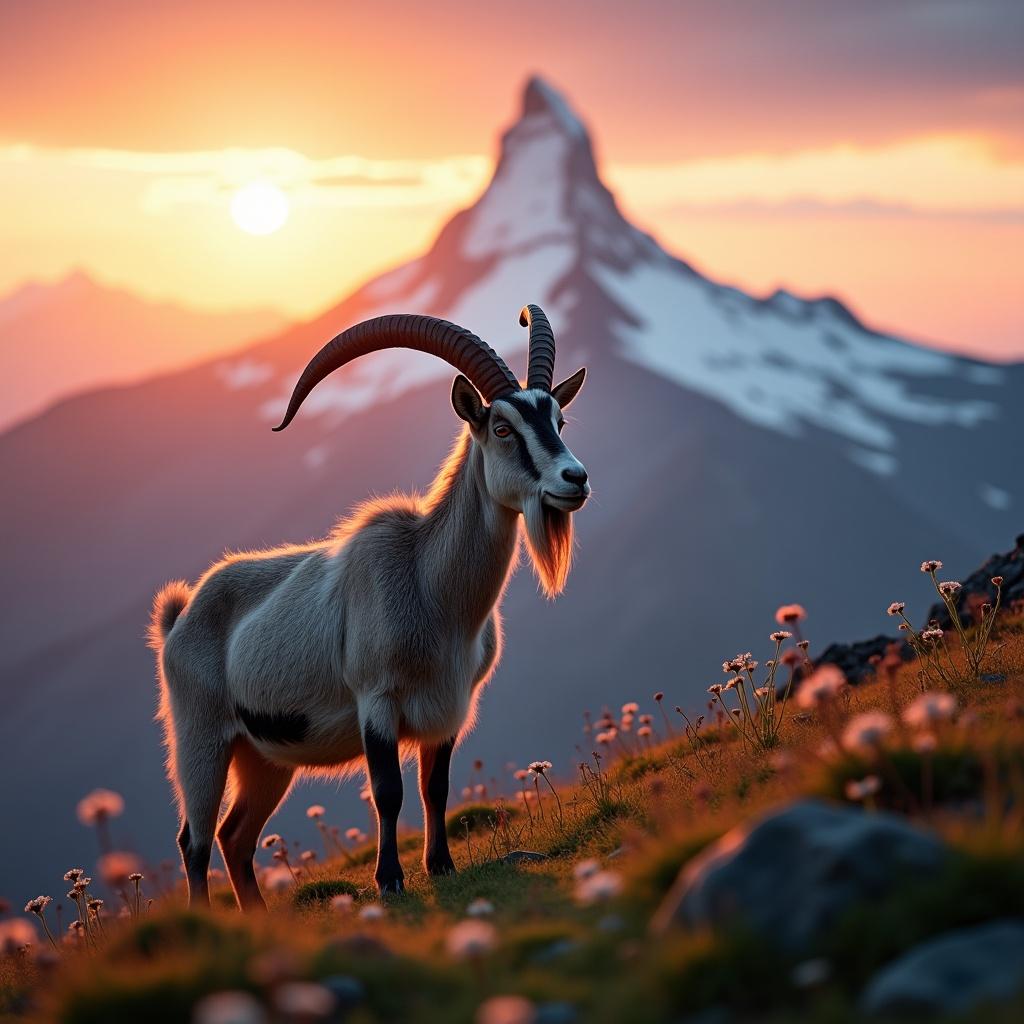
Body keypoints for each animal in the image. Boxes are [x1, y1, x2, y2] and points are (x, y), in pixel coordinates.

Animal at [148, 301, 589, 905]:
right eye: (502, 428)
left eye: (559, 421)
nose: (575, 479)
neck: (430, 585)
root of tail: (180, 619)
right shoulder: (376, 701)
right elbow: (388, 791)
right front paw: (390, 880)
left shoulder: (448, 710)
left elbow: (434, 788)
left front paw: (441, 866)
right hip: (201, 739)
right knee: (192, 840)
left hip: (263, 758)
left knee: (234, 836)